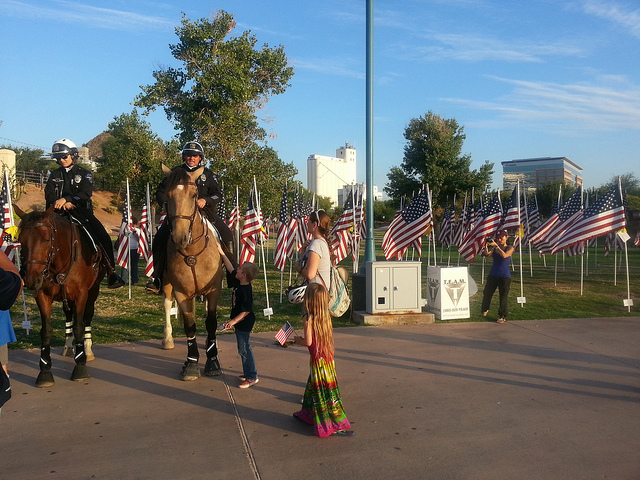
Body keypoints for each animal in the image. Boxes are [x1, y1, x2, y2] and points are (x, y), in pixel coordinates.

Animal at [15, 206, 105, 387]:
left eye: (45, 239)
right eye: (20, 240)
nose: (31, 279)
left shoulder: (81, 295)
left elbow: (79, 326)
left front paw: (80, 366)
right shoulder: (42, 296)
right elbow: (46, 331)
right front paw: (44, 371)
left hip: (93, 292)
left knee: (87, 317)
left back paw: (87, 348)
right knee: (68, 315)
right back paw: (68, 346)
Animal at [160, 165, 224, 381]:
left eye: (195, 195)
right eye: (167, 195)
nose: (180, 237)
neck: (191, 253)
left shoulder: (214, 289)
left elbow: (211, 322)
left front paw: (212, 361)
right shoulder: (181, 292)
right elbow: (190, 326)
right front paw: (192, 363)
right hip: (167, 285)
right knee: (166, 304)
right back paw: (167, 339)